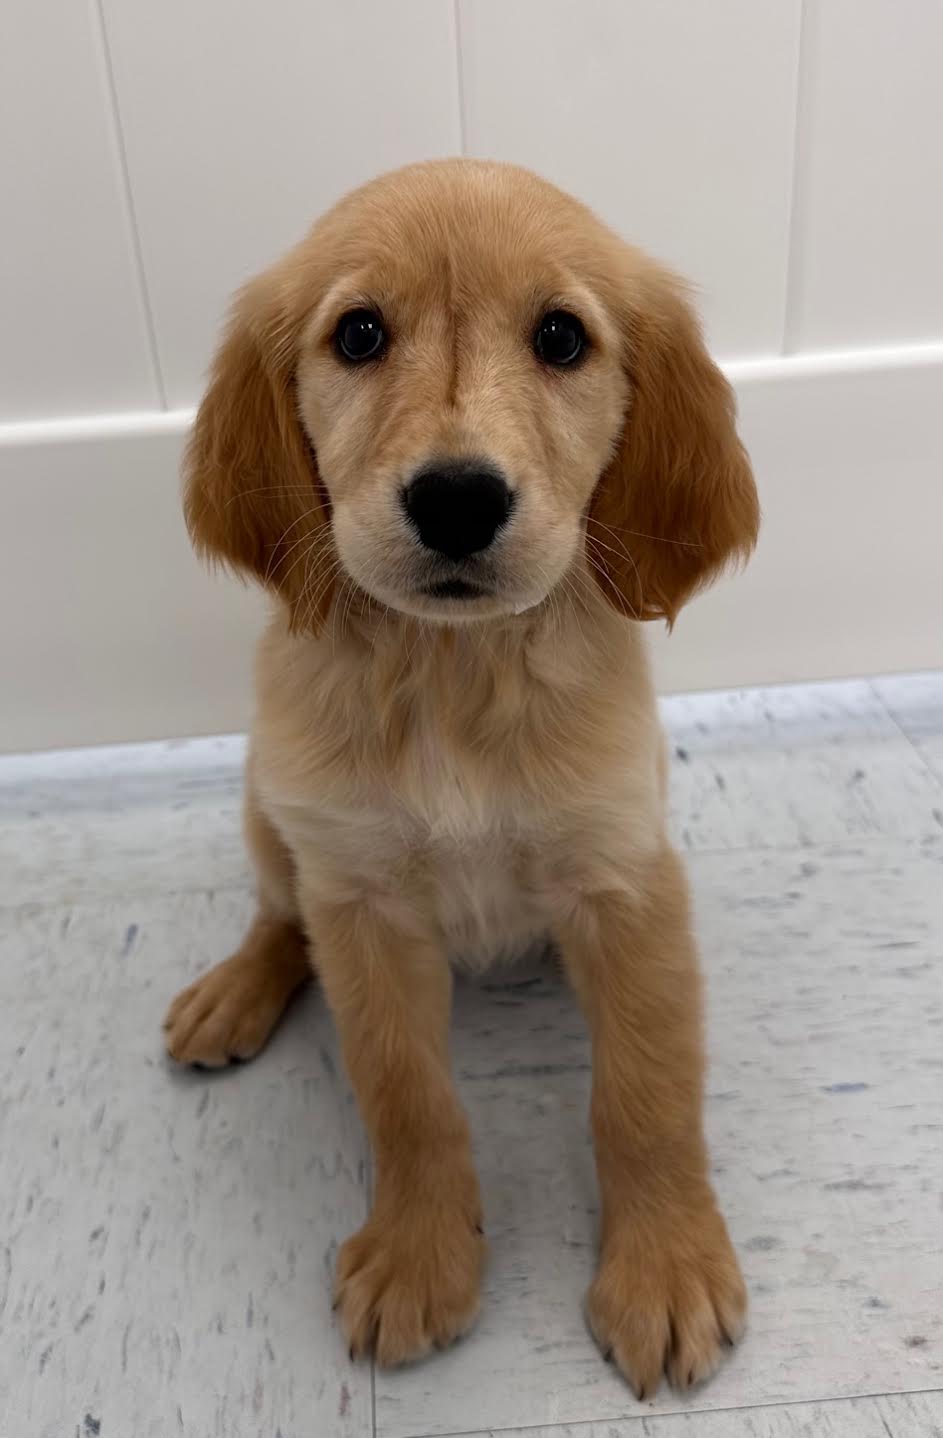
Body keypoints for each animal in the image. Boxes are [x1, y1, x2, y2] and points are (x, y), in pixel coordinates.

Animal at [163, 154, 759, 1391]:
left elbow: (645, 1092)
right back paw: (233, 989)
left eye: (560, 337)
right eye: (358, 333)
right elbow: (406, 1096)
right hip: (269, 813)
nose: (455, 499)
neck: (453, 670)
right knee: (278, 913)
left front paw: (665, 1266)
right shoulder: (362, 903)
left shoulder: (625, 880)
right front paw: (418, 1256)